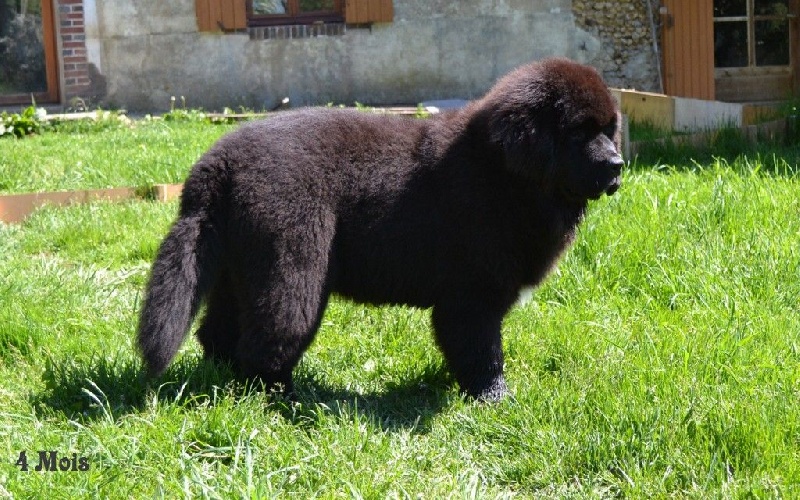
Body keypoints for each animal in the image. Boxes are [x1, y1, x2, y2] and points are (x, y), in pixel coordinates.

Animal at [139, 57, 624, 402]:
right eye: (579, 132)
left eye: (609, 130)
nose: (618, 165)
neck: (504, 174)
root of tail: (217, 164)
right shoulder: (471, 295)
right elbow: (482, 351)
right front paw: (494, 399)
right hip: (290, 268)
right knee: (268, 339)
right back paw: (283, 399)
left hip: (235, 268)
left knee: (218, 332)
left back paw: (224, 383)